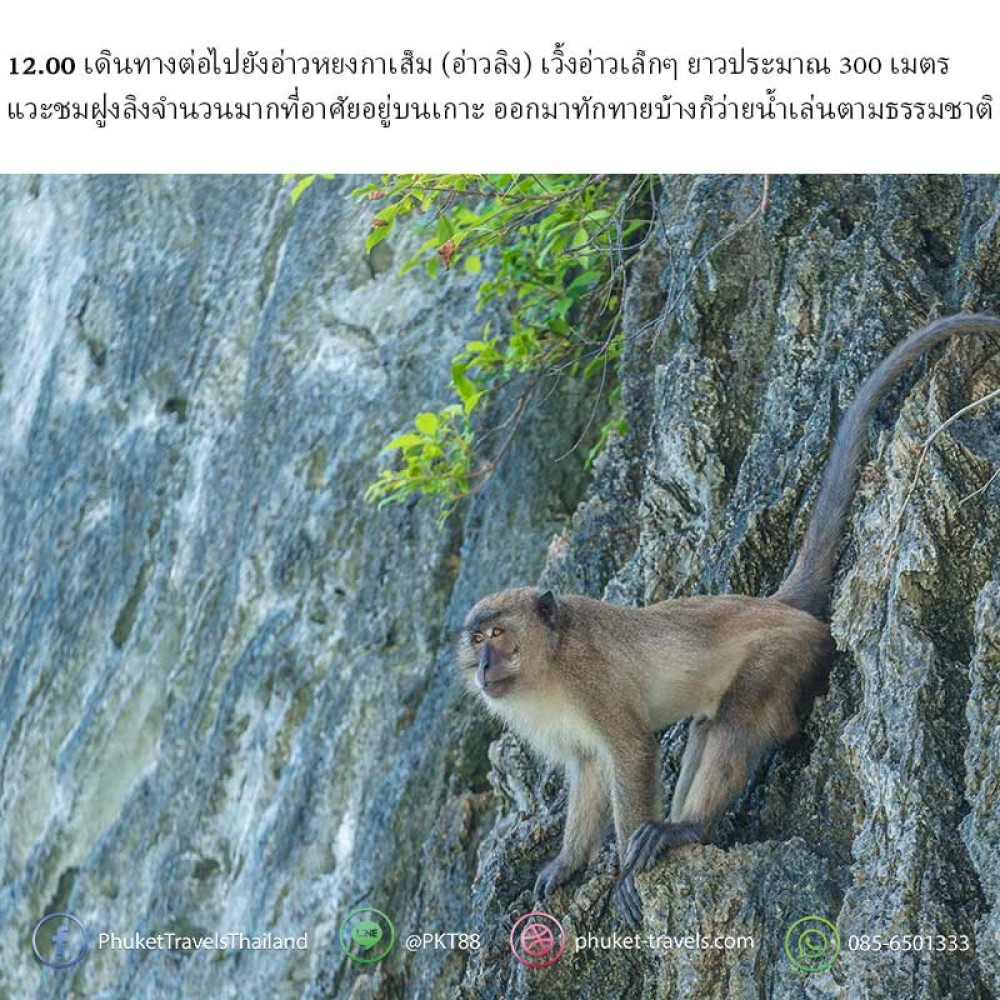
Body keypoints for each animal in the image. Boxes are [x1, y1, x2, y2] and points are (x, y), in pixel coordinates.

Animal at [460, 312, 1000, 920]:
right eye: (477, 638)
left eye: (498, 633)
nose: (485, 666)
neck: (549, 665)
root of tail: (774, 604)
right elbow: (591, 768)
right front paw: (568, 865)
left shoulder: (590, 677)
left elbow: (631, 751)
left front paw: (624, 875)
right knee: (707, 724)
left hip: (789, 649)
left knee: (739, 718)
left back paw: (687, 829)